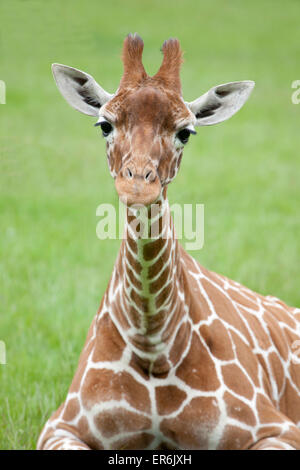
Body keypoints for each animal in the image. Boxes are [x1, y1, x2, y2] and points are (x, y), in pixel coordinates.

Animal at [37, 34, 300, 452]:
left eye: (185, 132)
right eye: (104, 125)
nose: (137, 185)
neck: (153, 342)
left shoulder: (277, 428)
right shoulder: (61, 425)